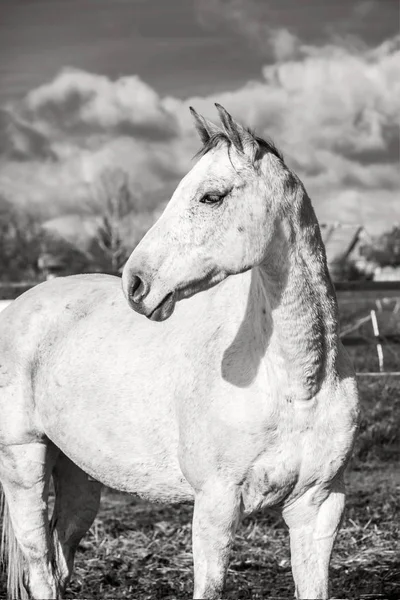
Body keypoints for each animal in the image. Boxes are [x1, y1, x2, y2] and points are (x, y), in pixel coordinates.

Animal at [0, 105, 358, 596]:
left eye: (211, 196)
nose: (136, 284)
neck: (297, 382)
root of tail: (16, 306)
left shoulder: (319, 506)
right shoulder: (216, 505)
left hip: (79, 477)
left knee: (59, 561)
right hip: (23, 460)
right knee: (40, 568)